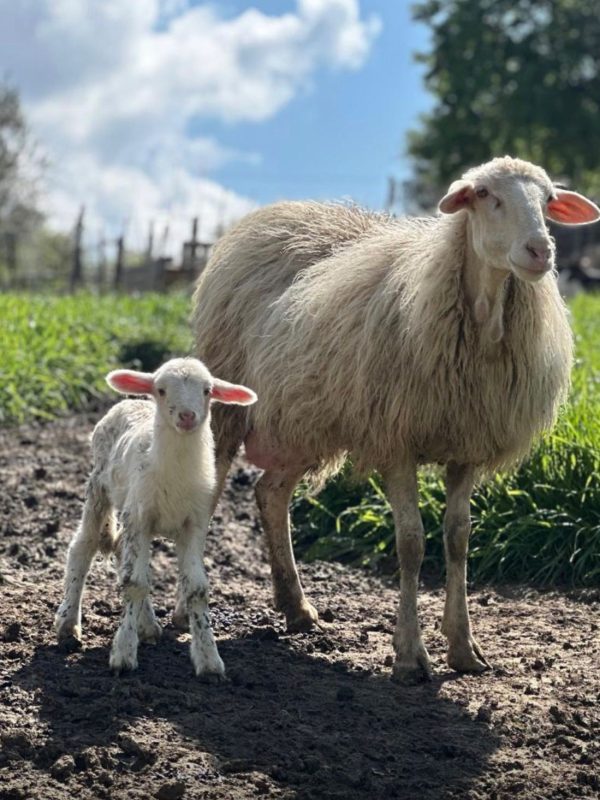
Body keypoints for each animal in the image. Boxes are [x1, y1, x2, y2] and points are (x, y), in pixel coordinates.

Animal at [54, 357, 257, 678]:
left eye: (208, 390)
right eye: (161, 390)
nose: (187, 416)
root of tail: (131, 401)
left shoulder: (194, 523)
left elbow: (196, 588)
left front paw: (209, 659)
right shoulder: (140, 517)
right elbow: (135, 582)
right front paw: (123, 654)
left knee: (122, 549)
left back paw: (147, 625)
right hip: (100, 489)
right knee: (83, 546)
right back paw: (68, 623)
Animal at [191, 156, 600, 684]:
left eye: (549, 200)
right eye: (484, 193)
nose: (540, 250)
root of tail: (273, 215)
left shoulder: (468, 447)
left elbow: (458, 538)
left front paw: (463, 648)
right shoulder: (396, 441)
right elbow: (411, 543)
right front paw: (410, 656)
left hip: (304, 420)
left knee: (270, 493)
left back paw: (296, 607)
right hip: (227, 405)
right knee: (212, 490)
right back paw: (184, 612)